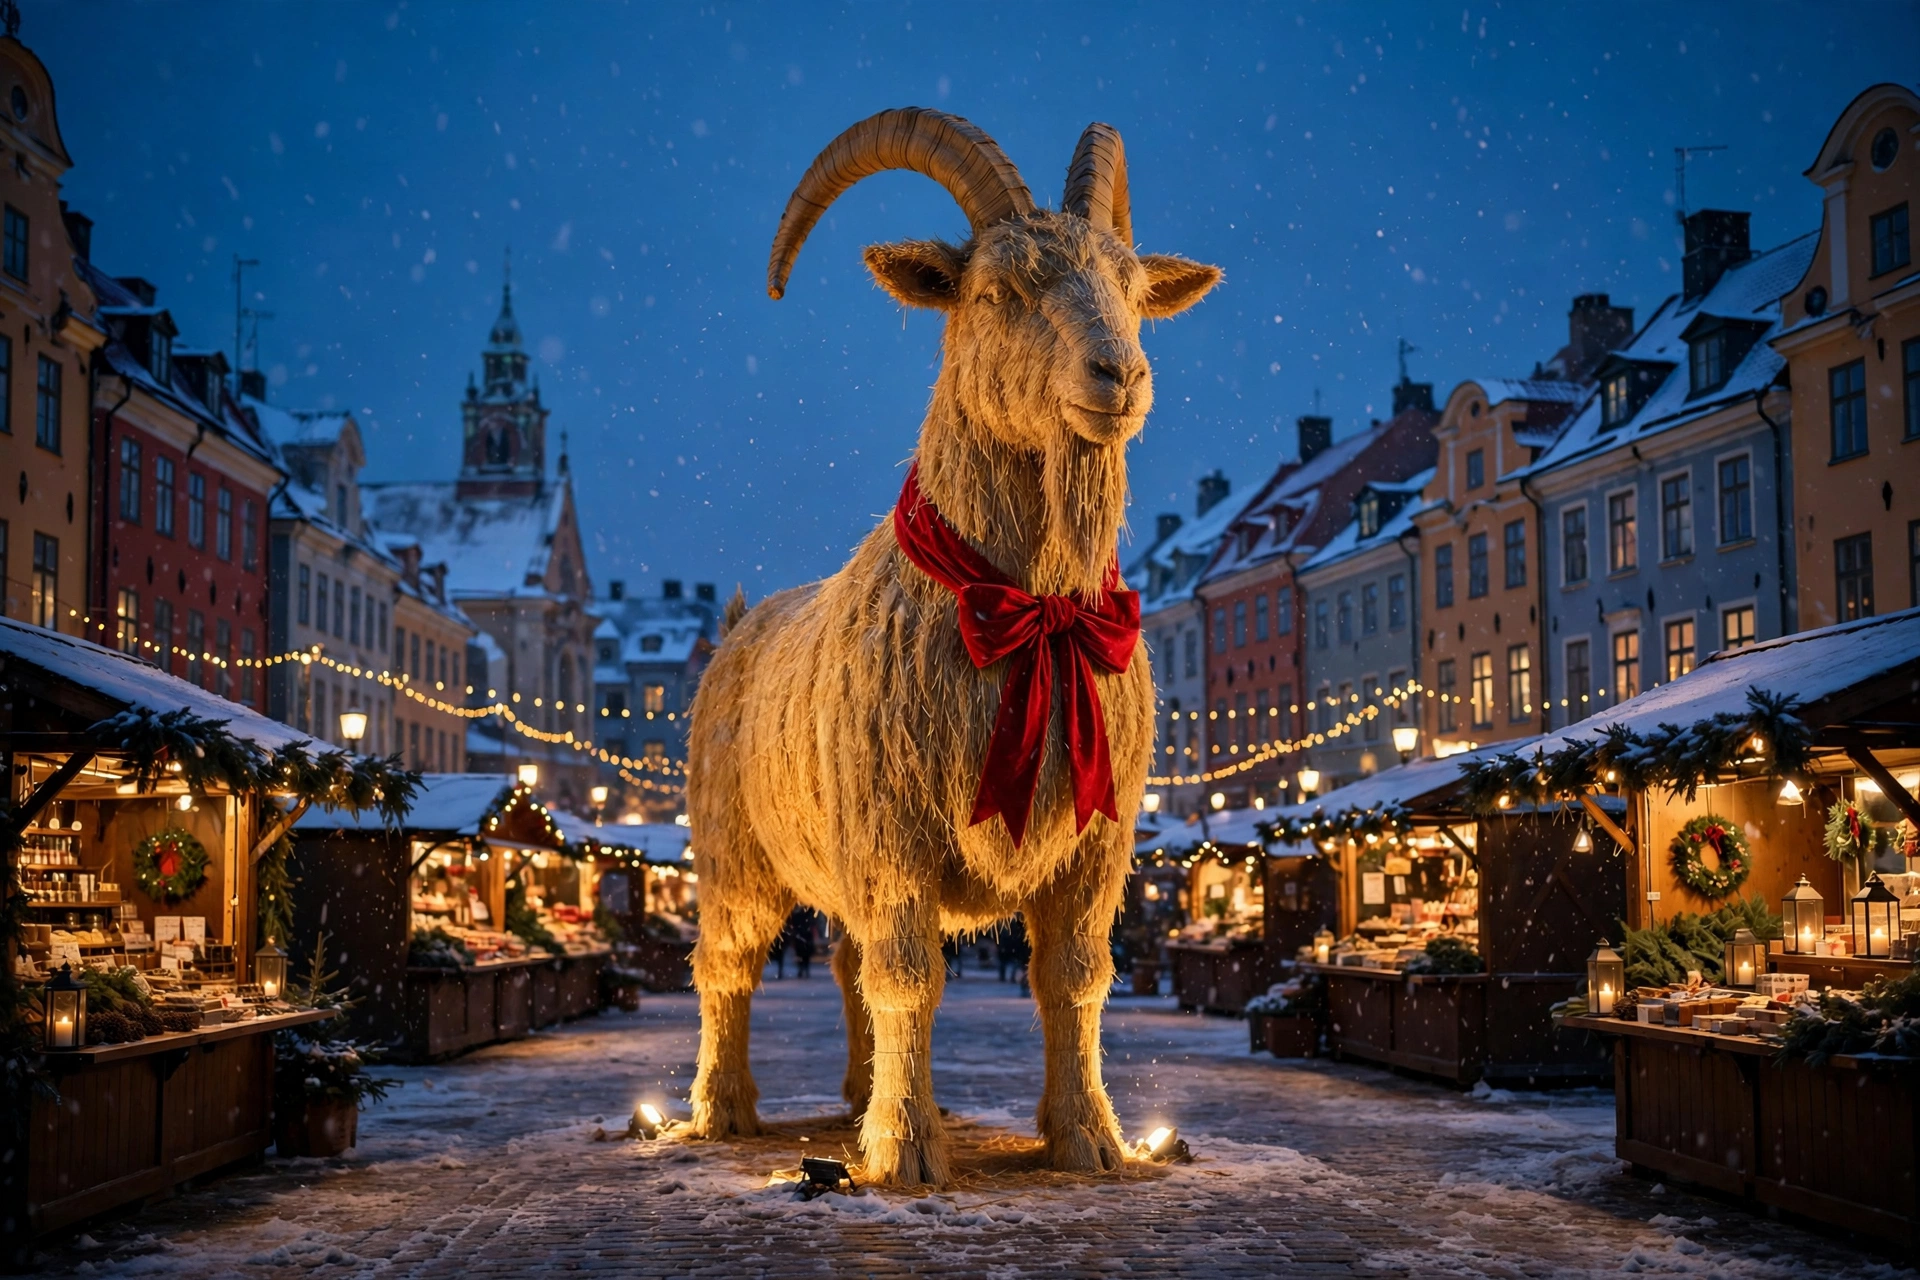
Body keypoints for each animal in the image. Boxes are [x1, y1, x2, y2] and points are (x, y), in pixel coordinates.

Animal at [686, 108, 1220, 1186]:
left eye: (1133, 286)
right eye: (997, 289)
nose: (1120, 376)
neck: (1028, 608)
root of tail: (740, 627)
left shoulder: (1098, 847)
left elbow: (1072, 978)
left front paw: (1087, 1137)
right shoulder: (893, 832)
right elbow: (910, 975)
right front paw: (906, 1155)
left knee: (843, 960)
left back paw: (862, 1097)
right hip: (734, 856)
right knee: (728, 967)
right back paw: (725, 1108)